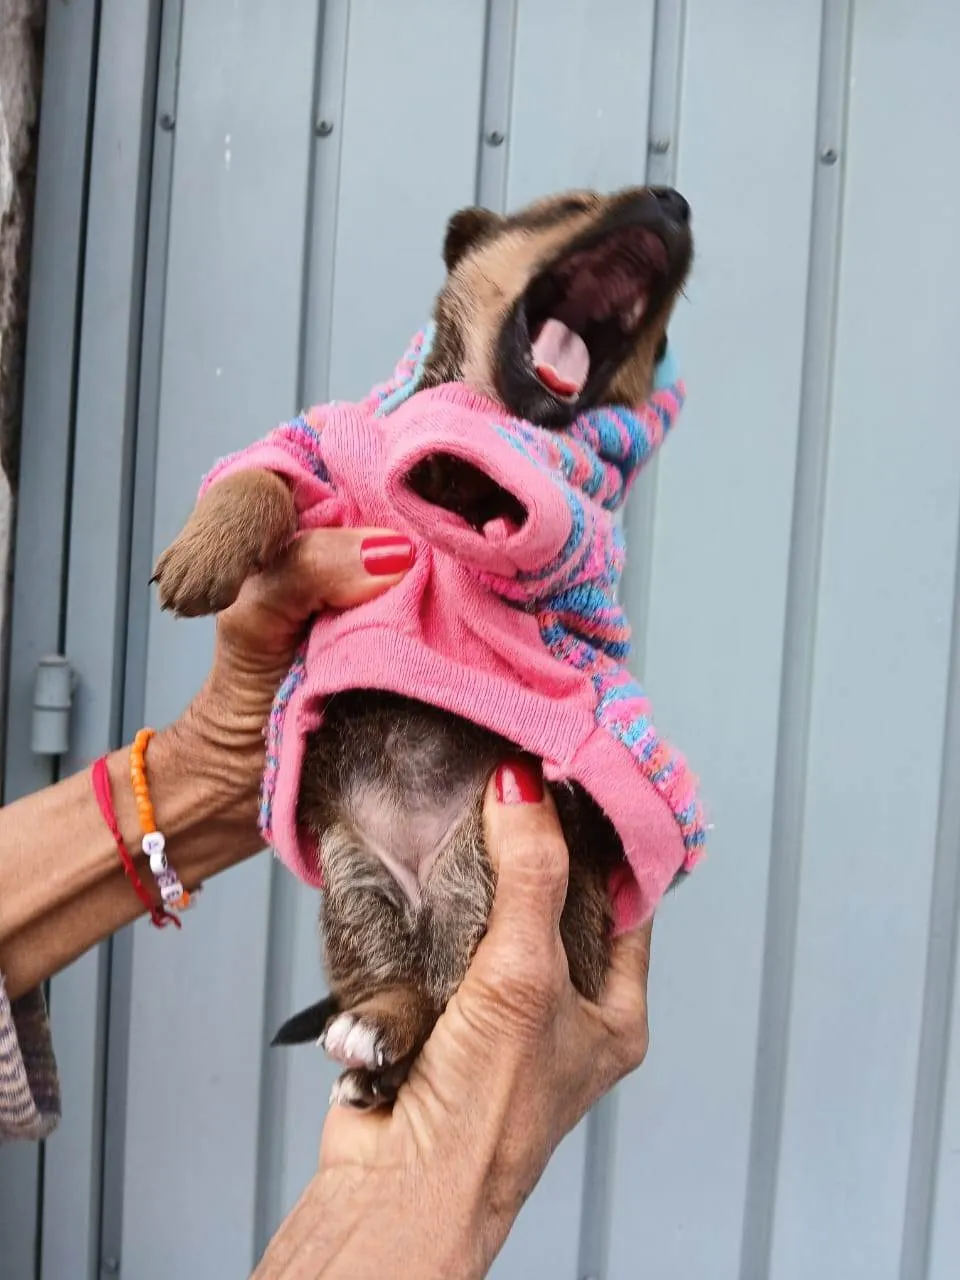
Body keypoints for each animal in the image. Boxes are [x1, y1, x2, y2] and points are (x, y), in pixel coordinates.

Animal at [153, 185, 694, 1108]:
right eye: (570, 205)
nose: (677, 201)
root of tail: (423, 881)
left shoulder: (563, 525)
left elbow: (522, 496)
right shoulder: (315, 446)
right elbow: (261, 471)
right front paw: (207, 548)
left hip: (507, 879)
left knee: (447, 992)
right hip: (351, 884)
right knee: (399, 982)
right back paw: (376, 1035)